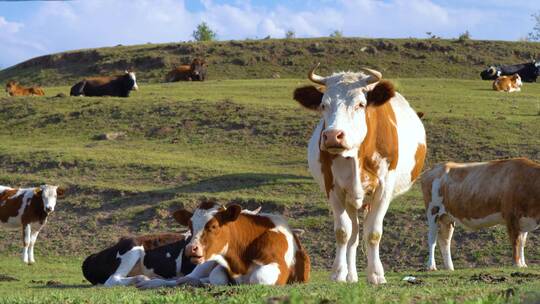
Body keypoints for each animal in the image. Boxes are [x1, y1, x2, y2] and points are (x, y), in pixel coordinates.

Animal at [137, 203, 310, 288]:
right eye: (190, 227)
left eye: (213, 226)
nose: (191, 248)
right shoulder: (220, 266)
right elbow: (217, 277)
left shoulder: (279, 266)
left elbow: (257, 278)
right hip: (205, 263)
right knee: (184, 278)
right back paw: (149, 282)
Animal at [294, 64, 428, 284]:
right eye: (323, 105)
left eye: (360, 104)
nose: (333, 136)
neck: (356, 154)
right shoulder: (333, 187)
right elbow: (343, 232)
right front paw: (338, 273)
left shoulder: (384, 189)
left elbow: (373, 233)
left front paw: (376, 274)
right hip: (351, 199)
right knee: (354, 235)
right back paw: (351, 275)